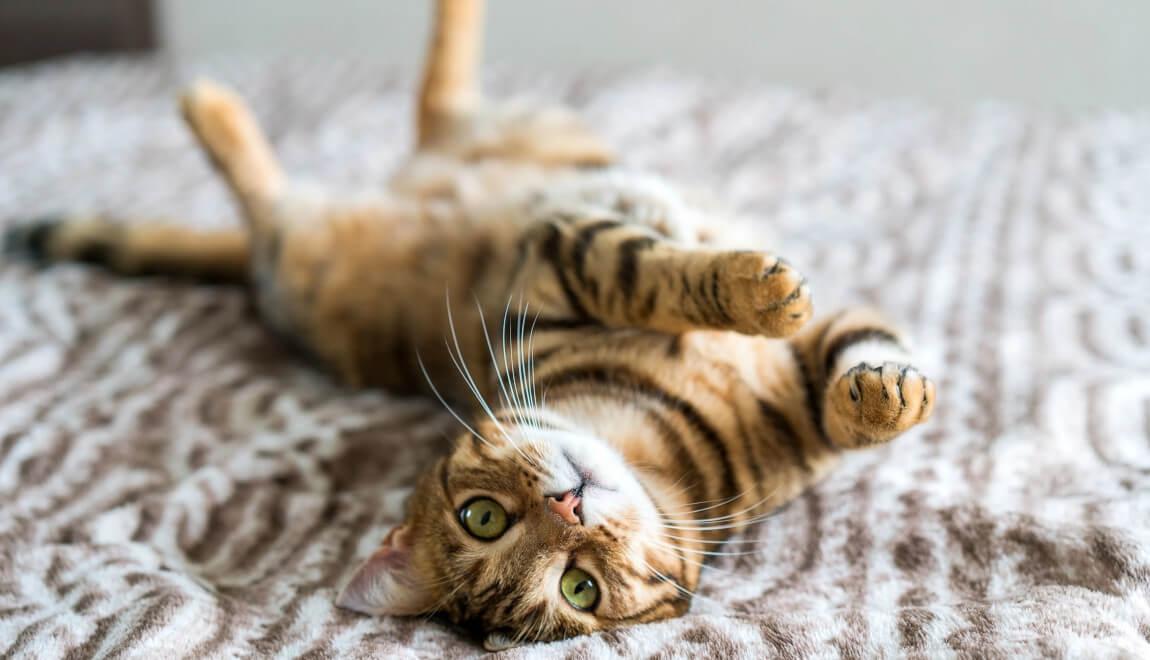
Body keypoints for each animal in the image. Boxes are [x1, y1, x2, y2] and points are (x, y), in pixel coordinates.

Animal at [4, 0, 933, 653]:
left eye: (580, 584)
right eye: (488, 523)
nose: (570, 505)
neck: (651, 443)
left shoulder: (805, 354)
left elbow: (850, 371)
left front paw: (882, 393)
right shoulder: (556, 260)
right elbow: (644, 269)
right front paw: (754, 290)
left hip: (505, 140)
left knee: (437, 101)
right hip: (307, 258)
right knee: (283, 193)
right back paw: (210, 104)